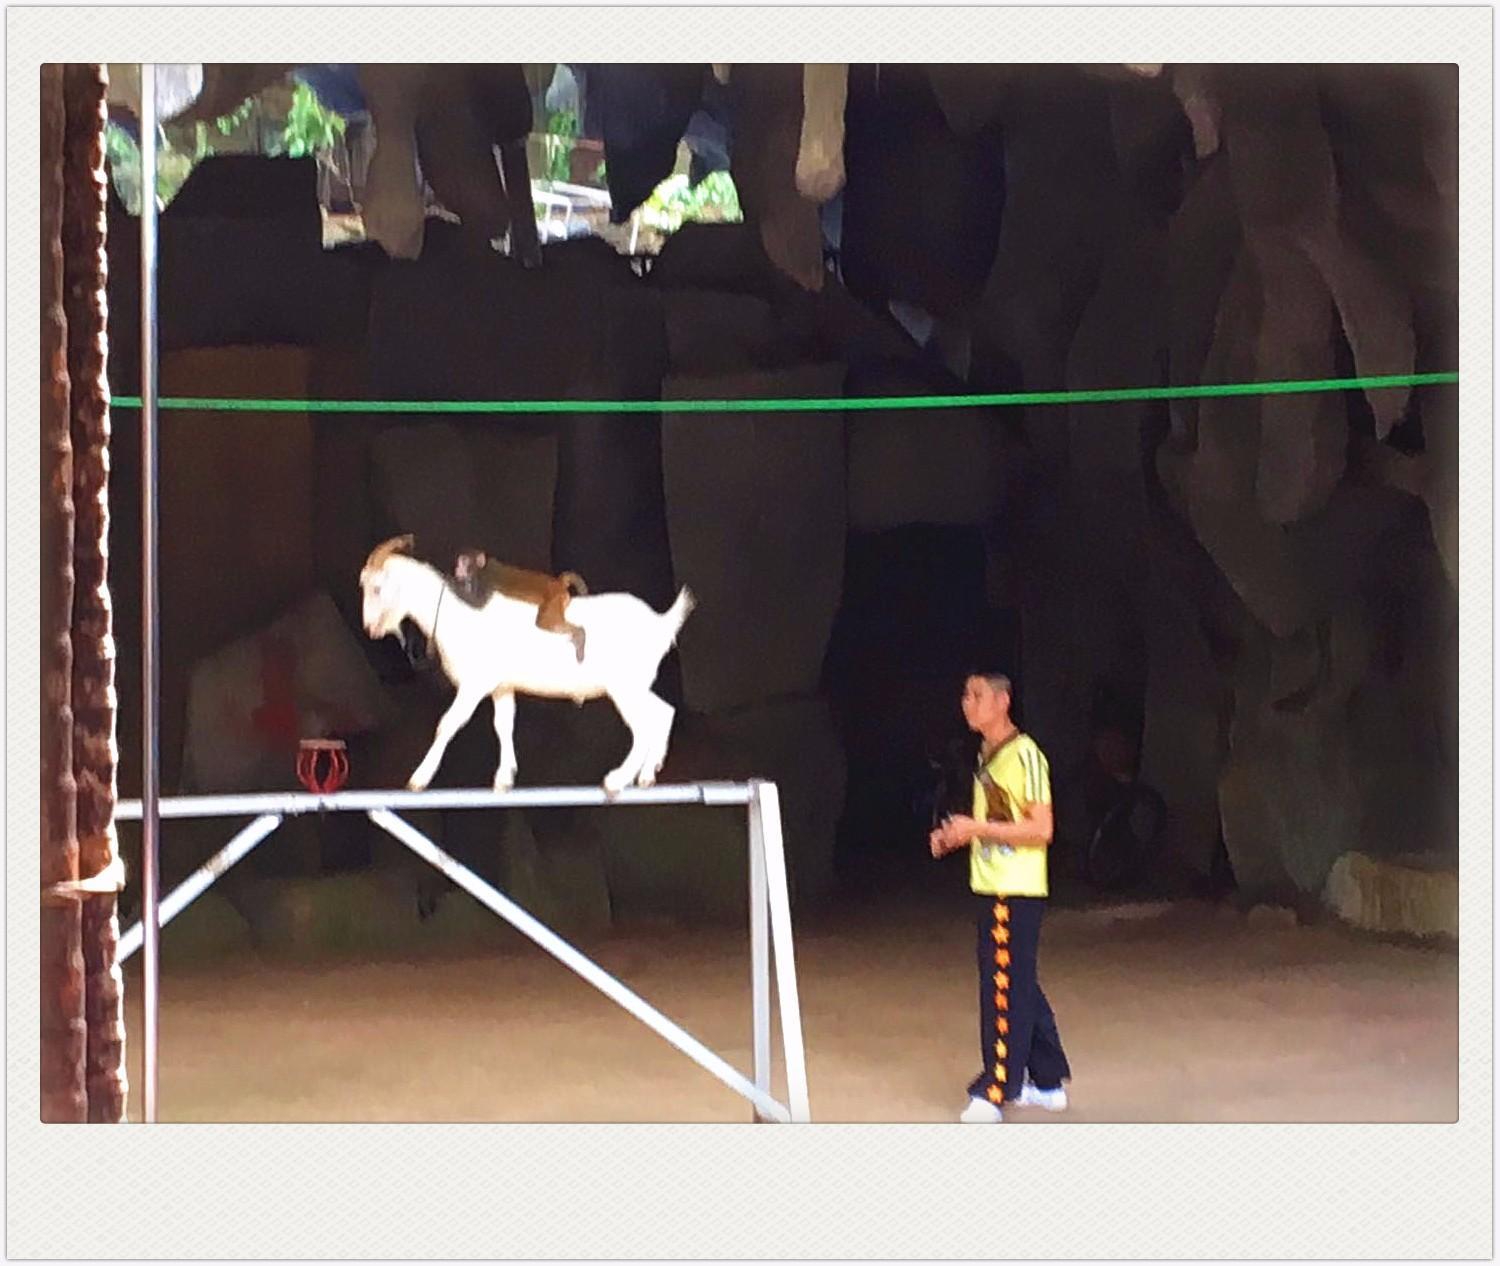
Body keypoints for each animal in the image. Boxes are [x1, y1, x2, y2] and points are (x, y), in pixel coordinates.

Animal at [360, 535, 696, 794]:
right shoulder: (502, 687)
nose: (370, 628)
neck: (461, 615)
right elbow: (503, 725)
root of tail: (661, 623)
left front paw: (418, 779)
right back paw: (647, 775)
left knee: (644, 726)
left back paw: (617, 780)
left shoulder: (474, 685)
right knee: (664, 713)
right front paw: (504, 779)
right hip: (636, 686)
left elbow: (449, 723)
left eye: (376, 587)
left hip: (623, 688)